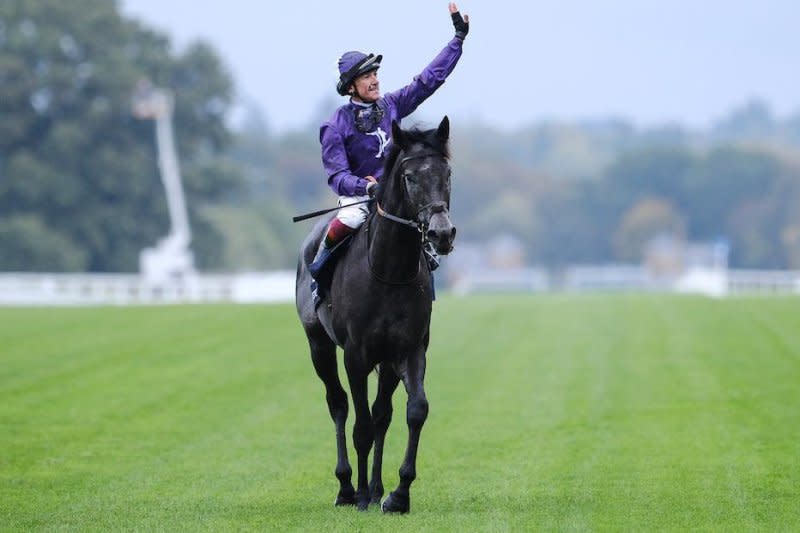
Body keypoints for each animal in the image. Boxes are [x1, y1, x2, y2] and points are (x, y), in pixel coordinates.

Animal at [294, 116, 456, 512]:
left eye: (447, 173)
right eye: (409, 177)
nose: (442, 233)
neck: (389, 271)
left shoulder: (409, 349)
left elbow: (414, 411)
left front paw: (398, 494)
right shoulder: (356, 354)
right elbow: (361, 424)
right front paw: (363, 495)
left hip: (386, 362)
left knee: (382, 414)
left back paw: (377, 487)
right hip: (319, 345)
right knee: (338, 405)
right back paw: (347, 487)